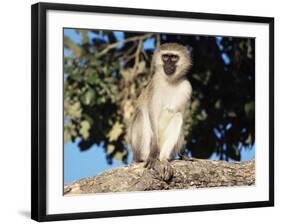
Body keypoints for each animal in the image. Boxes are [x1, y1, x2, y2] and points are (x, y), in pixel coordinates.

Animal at [129, 43, 190, 180]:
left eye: (174, 58)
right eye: (165, 57)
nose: (169, 65)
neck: (170, 82)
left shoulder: (187, 88)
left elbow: (181, 115)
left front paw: (183, 153)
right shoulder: (155, 85)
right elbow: (153, 114)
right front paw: (152, 155)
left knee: (178, 116)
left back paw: (163, 159)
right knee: (141, 115)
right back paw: (148, 157)